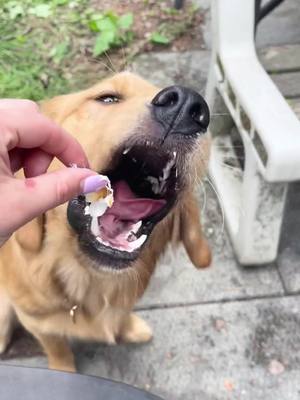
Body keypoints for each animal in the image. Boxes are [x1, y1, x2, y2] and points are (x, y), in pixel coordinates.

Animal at [0, 71, 211, 372]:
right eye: (108, 98)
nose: (185, 104)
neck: (88, 281)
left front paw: (129, 327)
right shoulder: (37, 321)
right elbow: (57, 348)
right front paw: (65, 369)